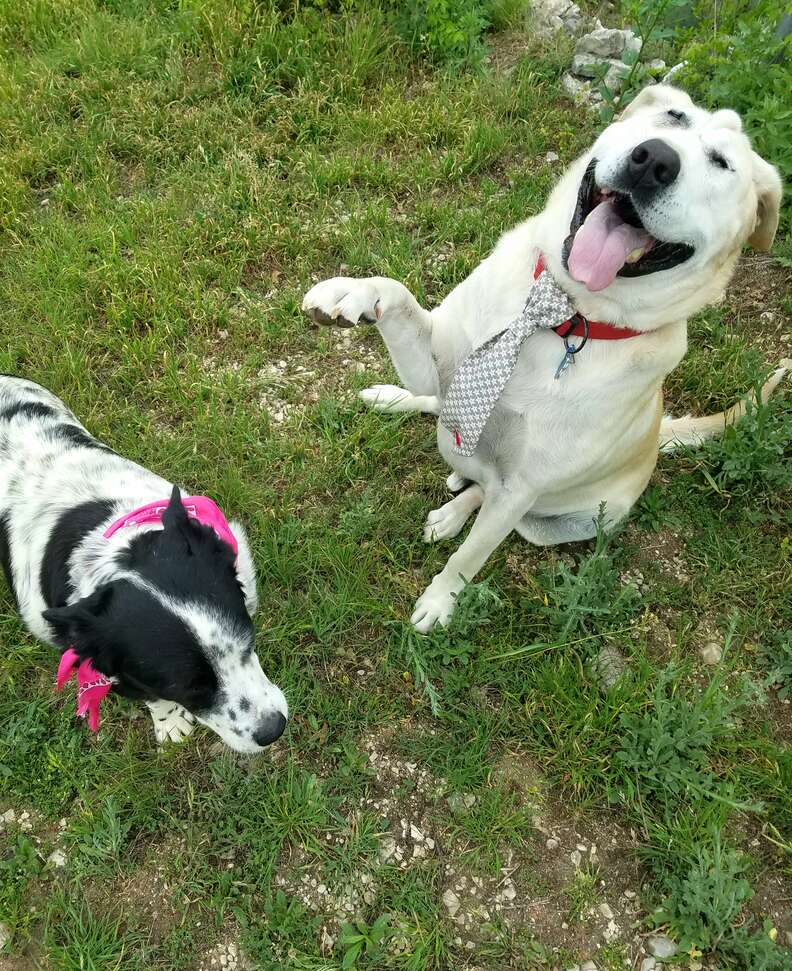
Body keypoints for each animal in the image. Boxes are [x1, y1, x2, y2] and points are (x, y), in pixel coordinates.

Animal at [0, 374, 286, 752]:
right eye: (185, 687)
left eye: (248, 642)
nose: (274, 729)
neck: (113, 550)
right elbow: (152, 697)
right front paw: (170, 722)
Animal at [304, 87, 784, 636]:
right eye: (673, 116)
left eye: (722, 163)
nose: (655, 160)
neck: (561, 315)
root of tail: (658, 436)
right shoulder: (438, 364)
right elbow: (398, 293)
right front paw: (353, 292)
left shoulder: (520, 490)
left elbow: (469, 557)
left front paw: (440, 601)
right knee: (437, 410)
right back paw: (390, 399)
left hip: (560, 519)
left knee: (483, 493)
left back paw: (452, 509)